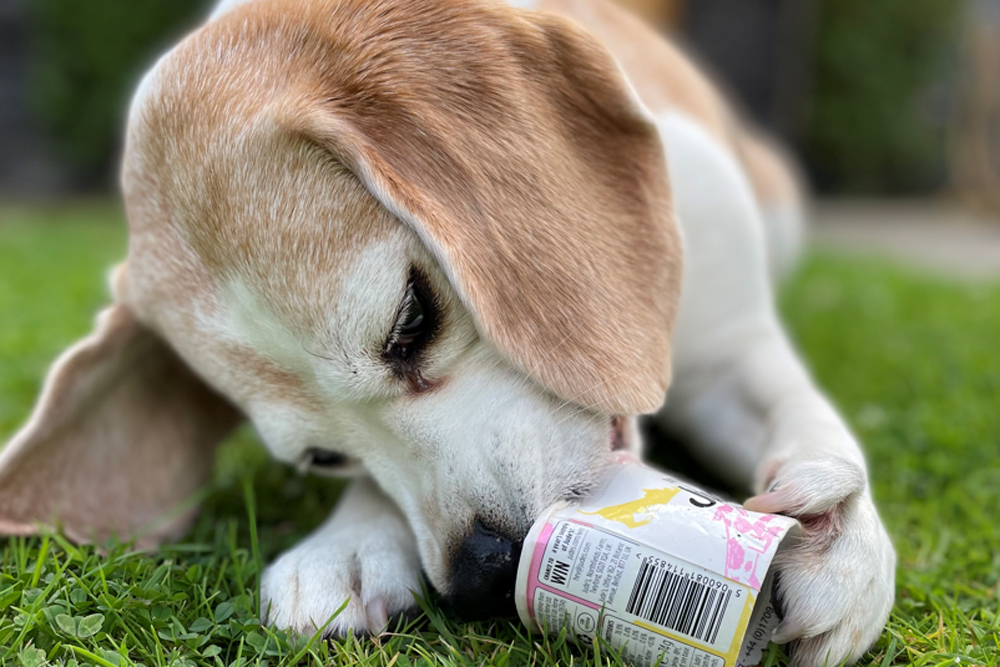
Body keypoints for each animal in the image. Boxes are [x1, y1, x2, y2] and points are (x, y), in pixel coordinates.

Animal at [0, 0, 896, 664]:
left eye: (413, 318)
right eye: (322, 457)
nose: (484, 574)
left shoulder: (733, 343)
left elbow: (802, 409)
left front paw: (838, 536)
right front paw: (350, 542)